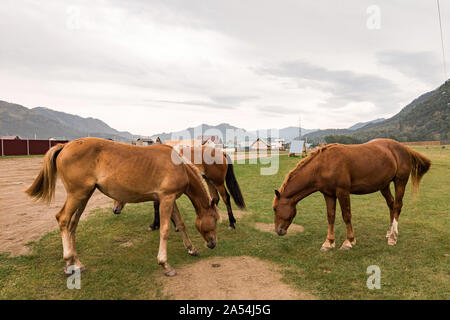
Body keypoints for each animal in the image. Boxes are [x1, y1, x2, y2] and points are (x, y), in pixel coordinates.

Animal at [25, 138, 219, 276]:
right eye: (215, 219)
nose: (213, 243)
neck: (179, 166)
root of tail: (64, 146)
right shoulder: (167, 199)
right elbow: (165, 230)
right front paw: (165, 264)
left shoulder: (170, 200)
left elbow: (180, 223)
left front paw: (191, 248)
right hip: (77, 195)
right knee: (63, 219)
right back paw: (69, 259)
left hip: (83, 196)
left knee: (72, 225)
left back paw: (75, 263)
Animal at [112, 145, 246, 230]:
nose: (114, 210)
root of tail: (221, 152)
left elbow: (157, 206)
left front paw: (156, 224)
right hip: (209, 181)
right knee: (215, 198)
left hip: (218, 182)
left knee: (226, 198)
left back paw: (231, 223)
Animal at [272, 139, 430, 251]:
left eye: (275, 208)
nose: (278, 231)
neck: (323, 165)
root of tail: (404, 148)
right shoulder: (328, 194)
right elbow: (331, 216)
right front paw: (329, 242)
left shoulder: (343, 191)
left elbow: (346, 215)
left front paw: (349, 241)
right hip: (384, 185)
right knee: (391, 204)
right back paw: (389, 231)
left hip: (400, 181)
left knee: (397, 205)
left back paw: (393, 237)